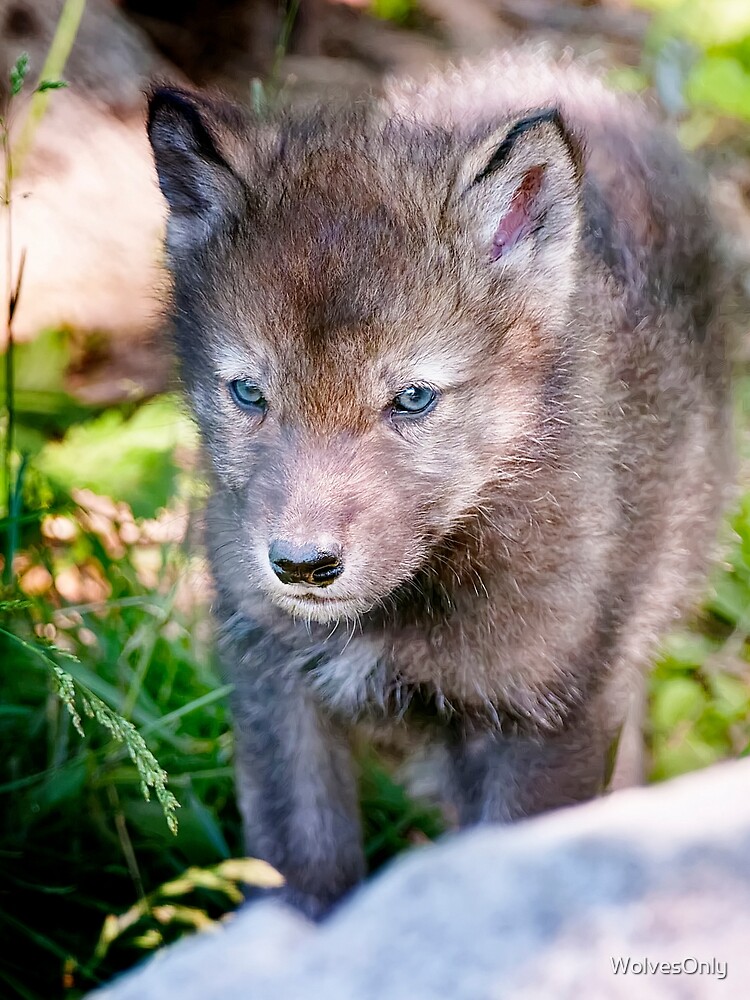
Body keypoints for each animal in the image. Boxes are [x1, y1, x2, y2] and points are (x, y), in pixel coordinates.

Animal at [147, 51, 731, 916]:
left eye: (414, 399)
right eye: (248, 393)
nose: (302, 567)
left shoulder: (548, 714)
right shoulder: (273, 683)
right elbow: (301, 872)